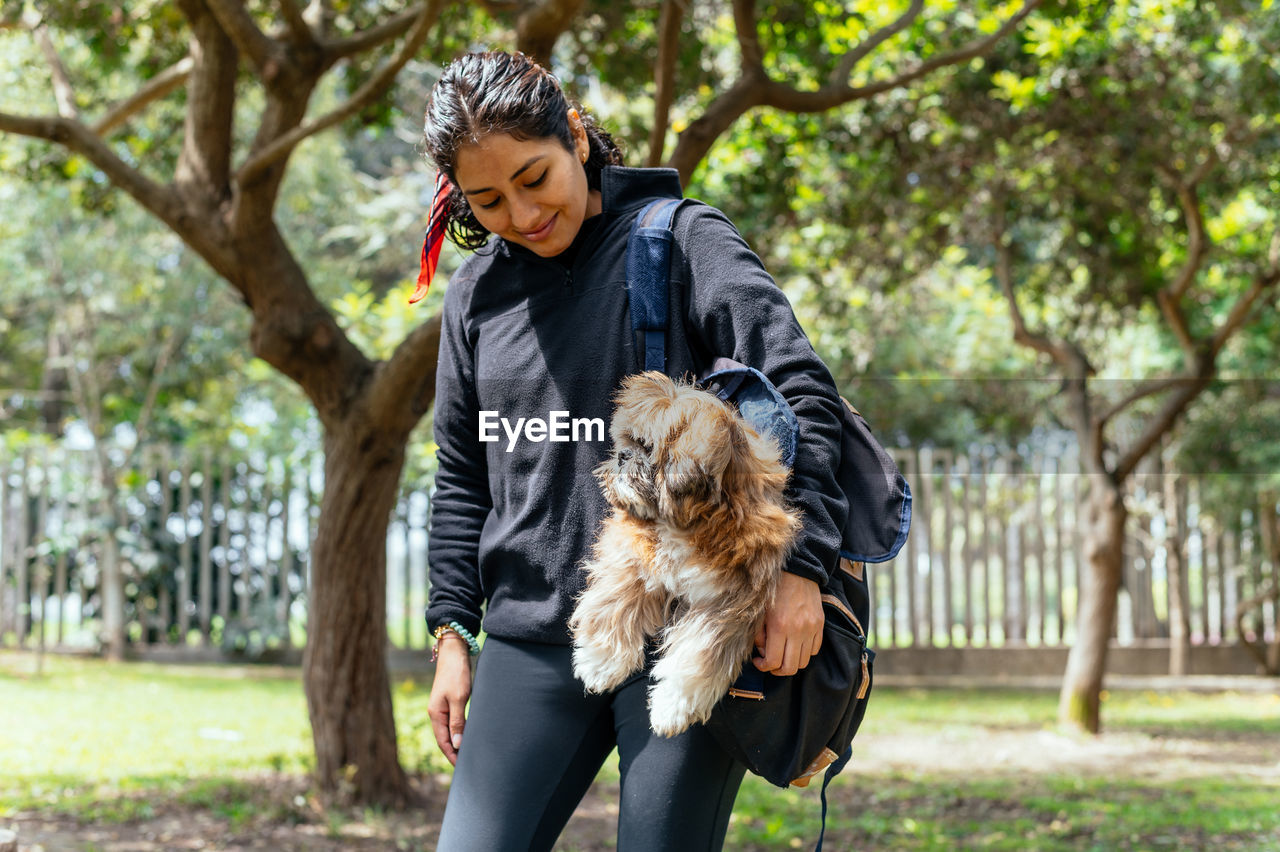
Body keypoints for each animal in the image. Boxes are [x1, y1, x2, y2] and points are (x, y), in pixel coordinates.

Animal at [570, 370, 798, 736]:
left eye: (646, 447)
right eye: (626, 443)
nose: (622, 456)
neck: (687, 525)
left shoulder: (729, 602)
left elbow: (699, 652)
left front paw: (672, 706)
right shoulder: (632, 555)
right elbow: (614, 603)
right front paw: (599, 661)